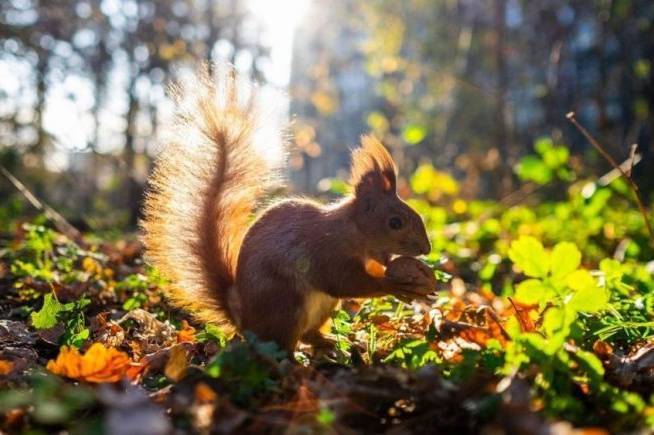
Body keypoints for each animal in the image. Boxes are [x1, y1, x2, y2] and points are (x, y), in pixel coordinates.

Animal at [144, 68, 436, 354]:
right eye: (395, 222)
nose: (426, 249)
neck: (351, 230)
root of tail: (242, 319)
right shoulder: (326, 251)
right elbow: (344, 281)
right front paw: (395, 285)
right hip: (286, 305)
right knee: (279, 347)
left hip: (324, 307)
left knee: (307, 335)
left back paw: (332, 342)